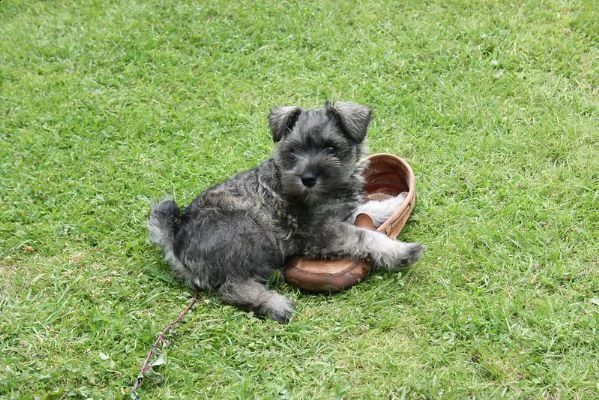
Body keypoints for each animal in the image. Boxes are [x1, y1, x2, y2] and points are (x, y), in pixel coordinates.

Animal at [148, 101, 424, 324]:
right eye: (294, 150)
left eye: (331, 148)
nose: (308, 178)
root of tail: (174, 238)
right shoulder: (322, 233)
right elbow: (365, 236)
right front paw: (400, 251)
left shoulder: (340, 215)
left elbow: (365, 209)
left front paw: (394, 202)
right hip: (249, 234)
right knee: (232, 287)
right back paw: (276, 304)